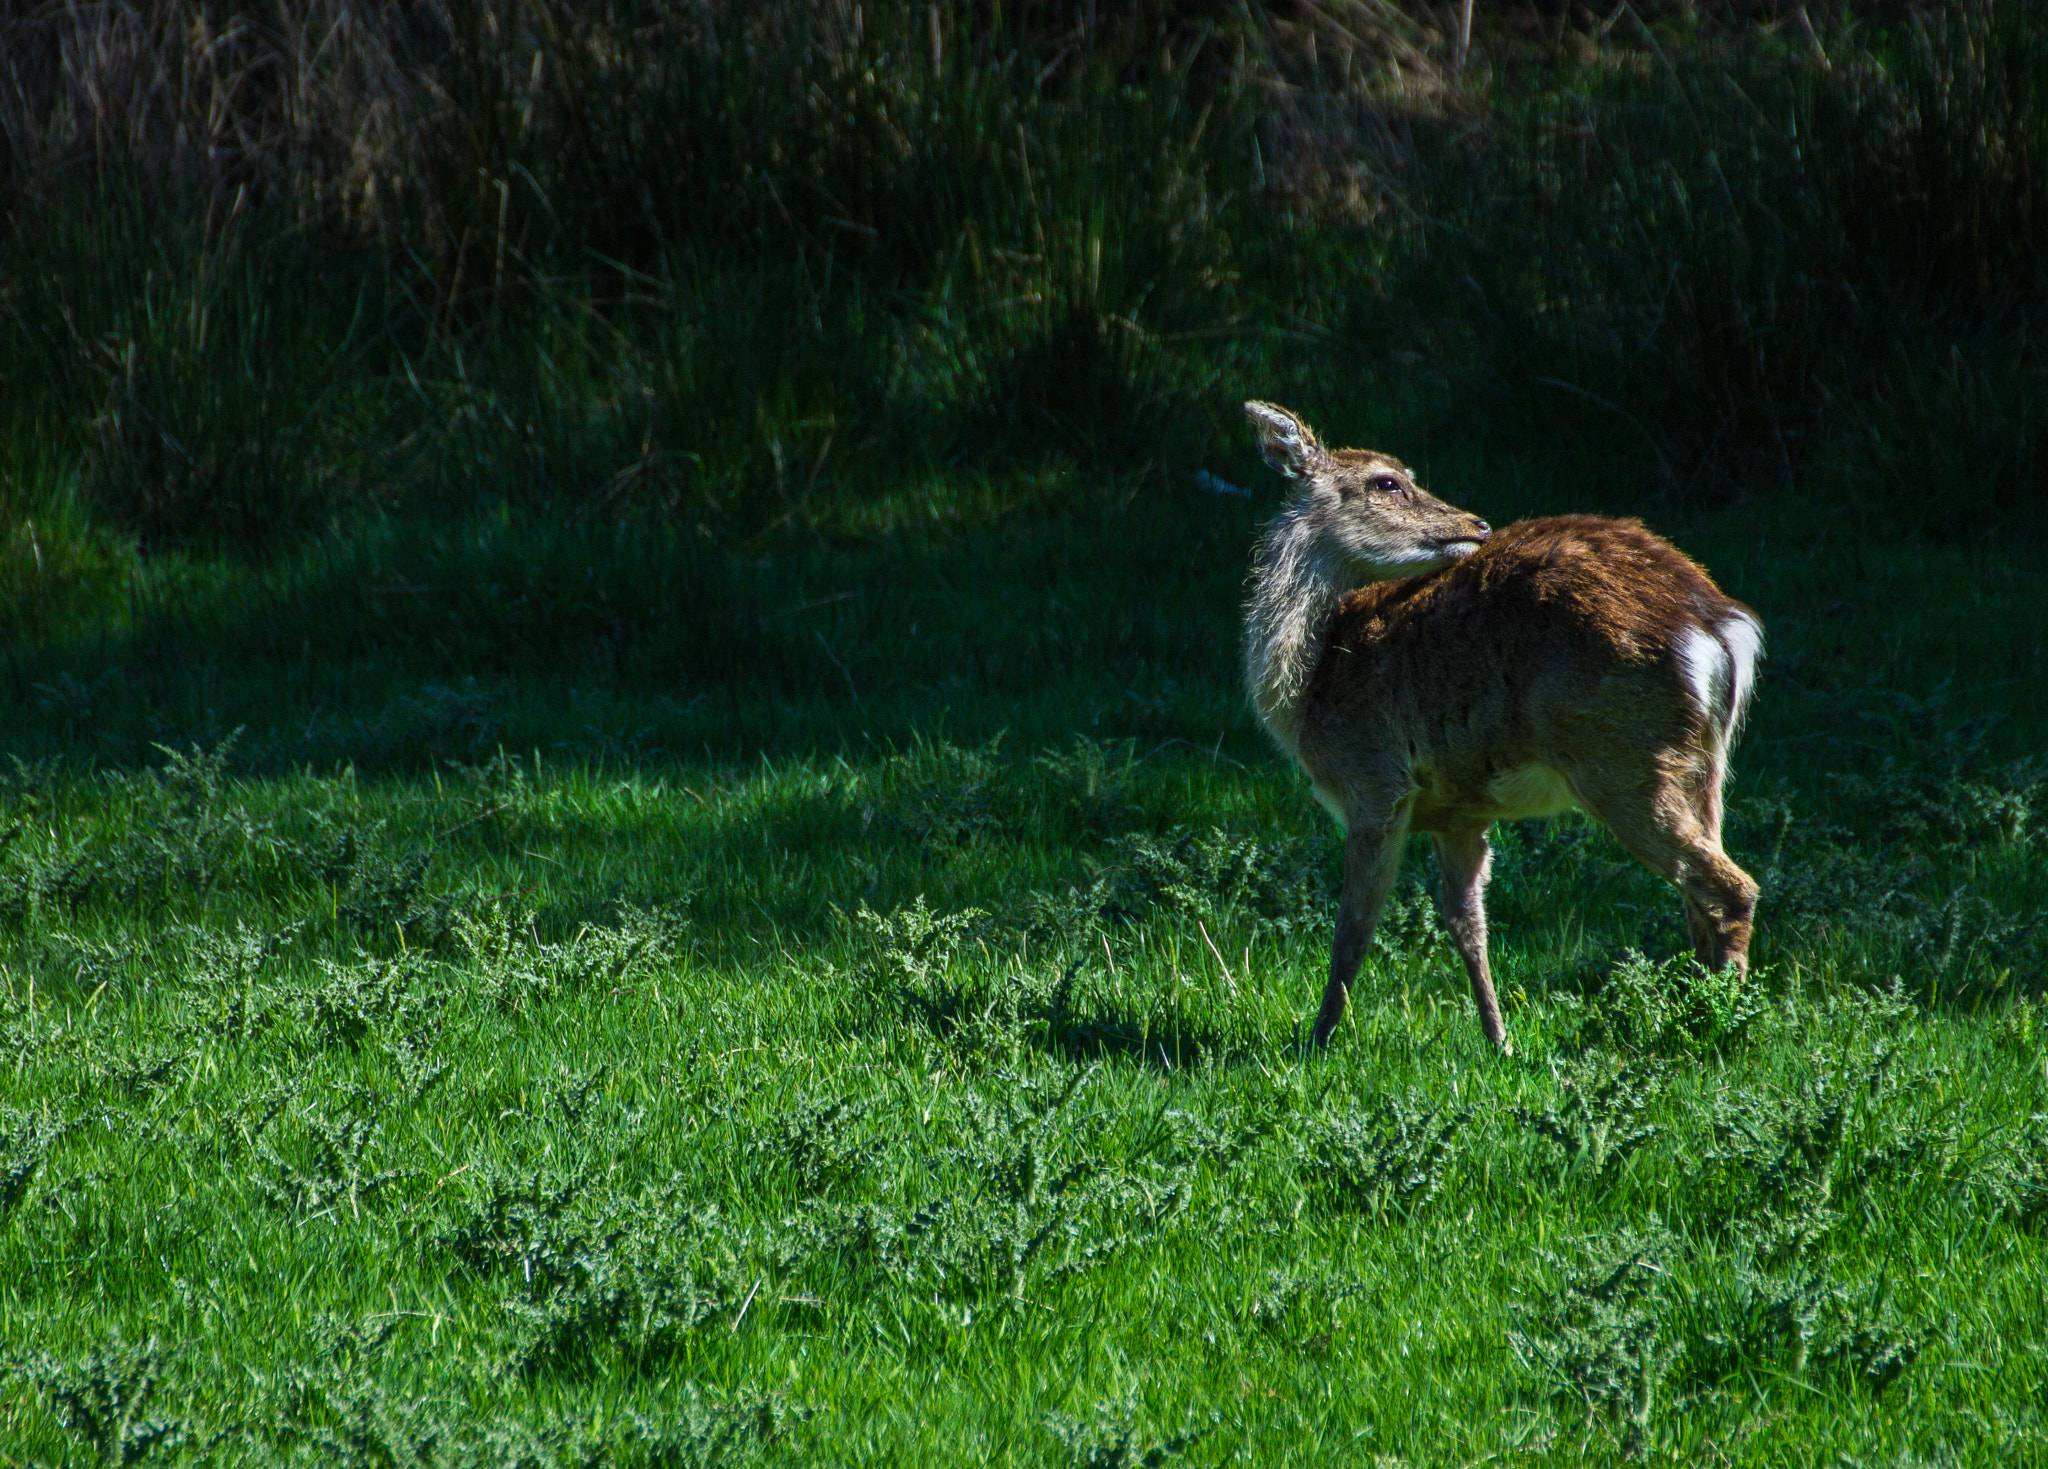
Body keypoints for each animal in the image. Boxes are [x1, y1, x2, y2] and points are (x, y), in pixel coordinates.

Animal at [1239, 401, 1762, 1054]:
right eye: (1385, 482)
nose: (1476, 522)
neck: (1310, 687)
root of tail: (1716, 623)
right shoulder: (1458, 811)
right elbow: (1468, 926)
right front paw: (1499, 1042)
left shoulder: (1375, 780)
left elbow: (1353, 929)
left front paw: (1316, 1043)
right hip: (1706, 763)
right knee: (1698, 891)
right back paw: (1697, 1010)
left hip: (1621, 755)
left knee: (1728, 887)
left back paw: (1721, 1031)